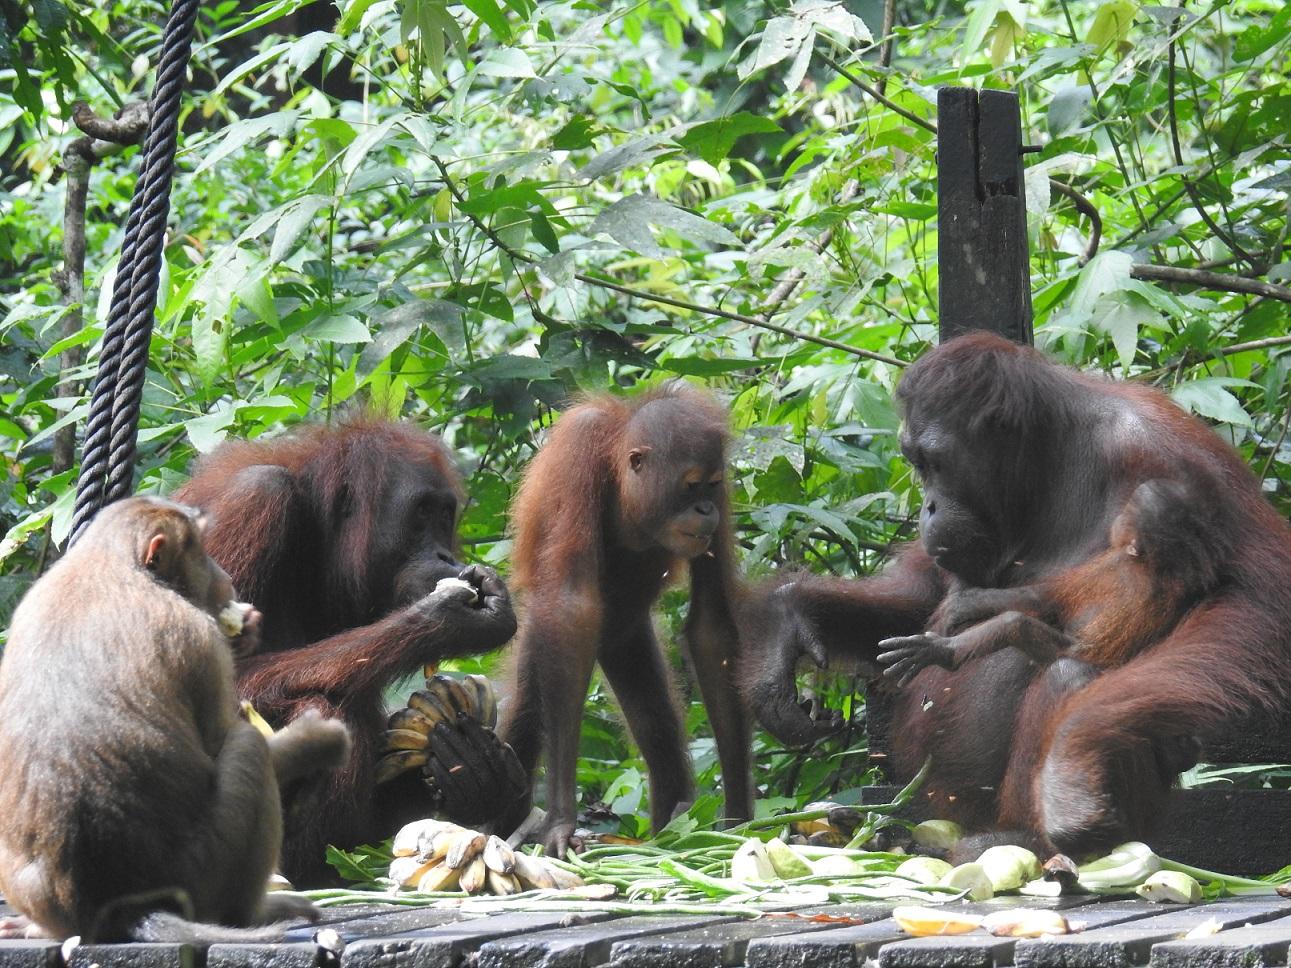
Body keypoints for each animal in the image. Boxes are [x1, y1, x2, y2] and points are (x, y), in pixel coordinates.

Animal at [0, 497, 351, 943]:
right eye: (201, 551)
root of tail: (120, 905)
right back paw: (251, 912)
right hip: (204, 874)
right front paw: (318, 740)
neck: (110, 563)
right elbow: (223, 740)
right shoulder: (199, 636)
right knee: (248, 746)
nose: (224, 577)